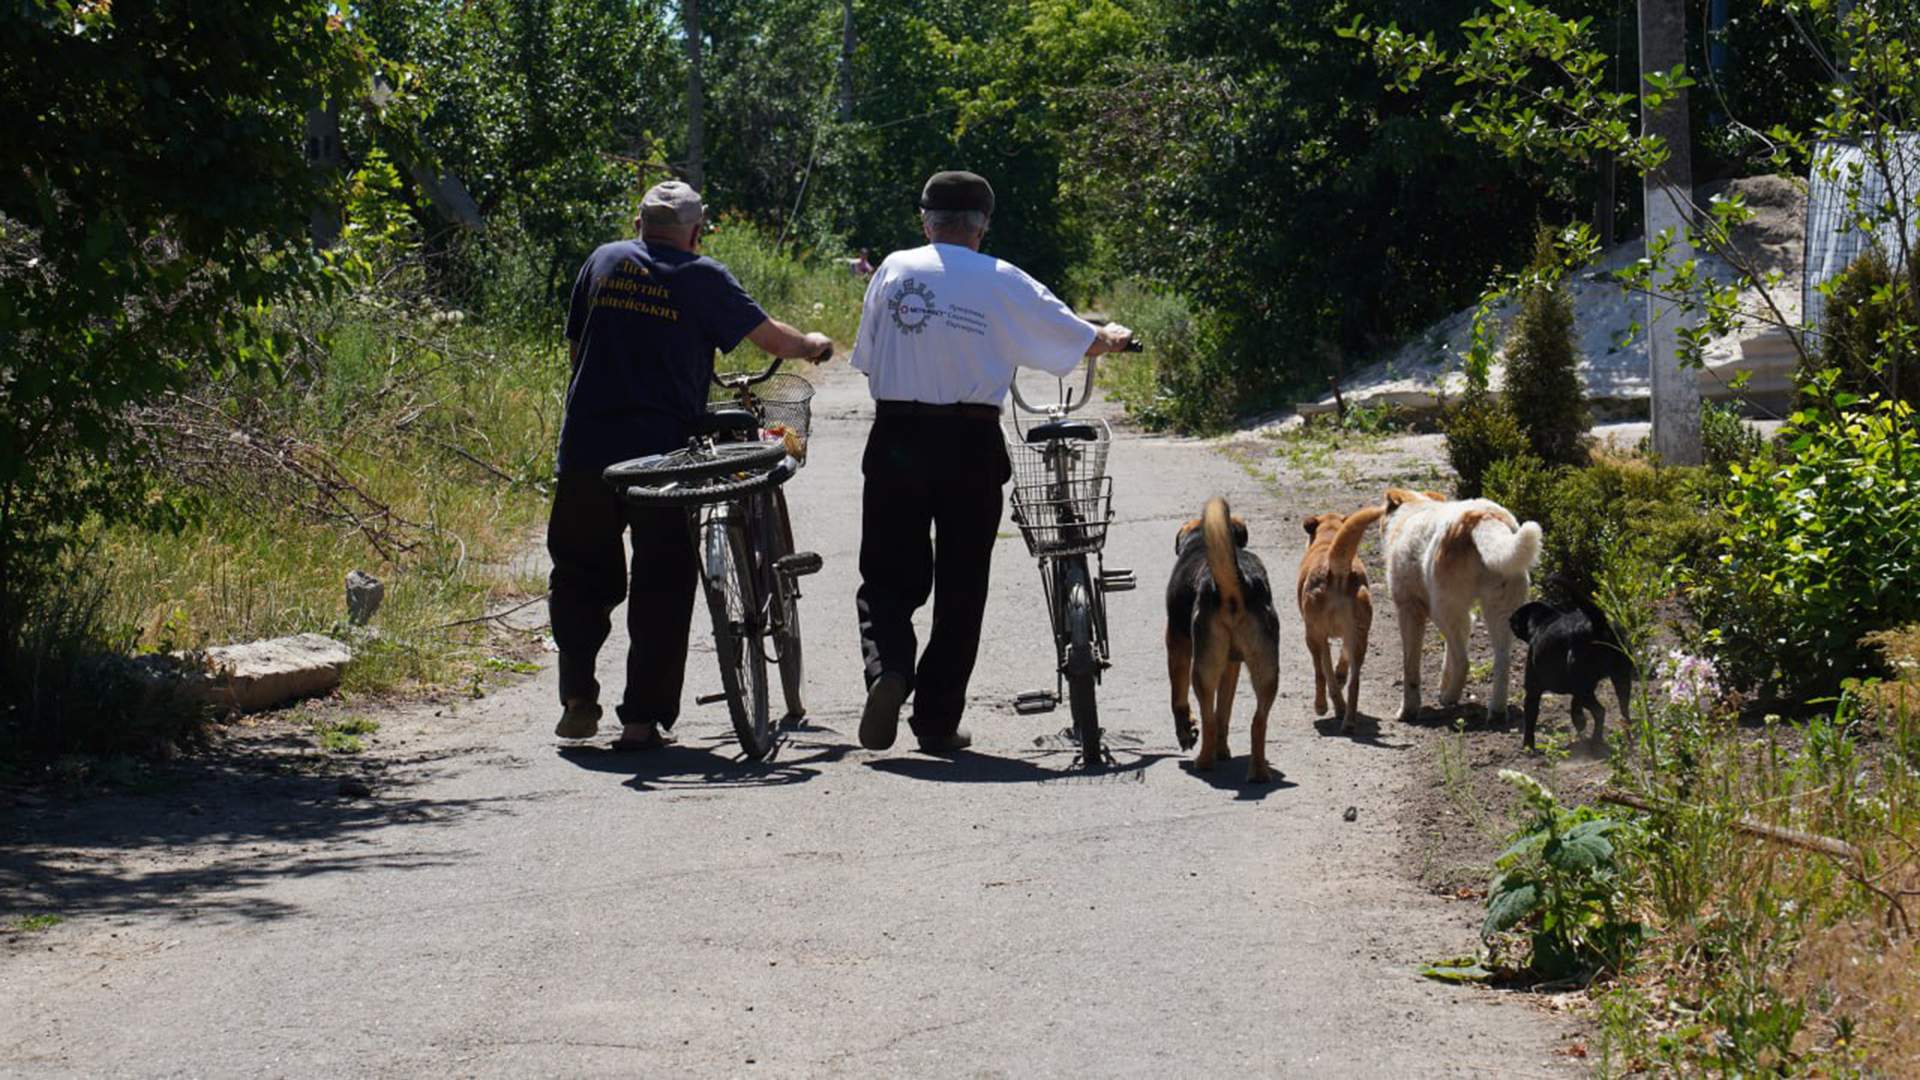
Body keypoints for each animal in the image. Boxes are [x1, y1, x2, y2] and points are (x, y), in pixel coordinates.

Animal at [1159, 491, 1282, 776]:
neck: (1199, 542)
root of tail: (1236, 585)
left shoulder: (1176, 642)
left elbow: (1178, 696)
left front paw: (1186, 730)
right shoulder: (1231, 665)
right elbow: (1224, 711)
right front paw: (1223, 751)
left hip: (1202, 670)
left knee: (1208, 719)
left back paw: (1203, 762)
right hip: (1267, 670)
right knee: (1257, 721)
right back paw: (1258, 772)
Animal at [1512, 588, 1635, 749]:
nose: (1509, 620)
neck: (1544, 620)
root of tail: (1598, 625)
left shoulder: (1533, 690)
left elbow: (1530, 720)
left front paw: (1527, 747)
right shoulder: (1582, 689)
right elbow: (1575, 707)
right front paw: (1580, 723)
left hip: (1585, 685)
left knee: (1600, 712)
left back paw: (1595, 742)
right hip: (1619, 680)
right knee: (1624, 712)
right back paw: (1628, 741)